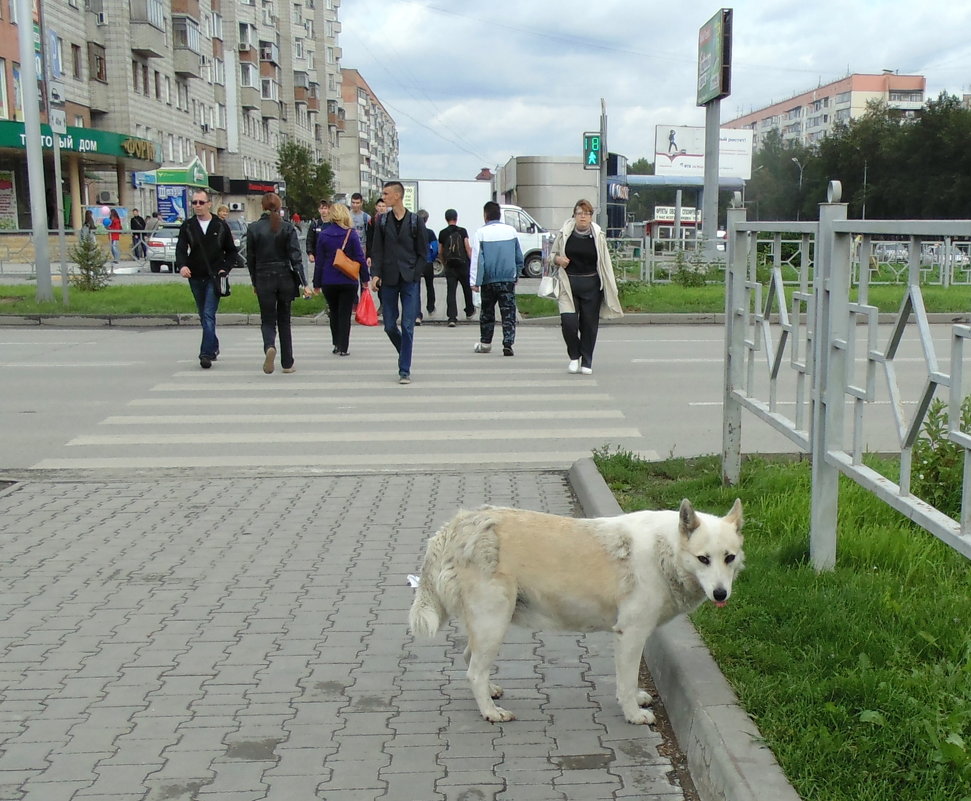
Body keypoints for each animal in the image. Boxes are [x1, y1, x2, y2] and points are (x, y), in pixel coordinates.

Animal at [408, 496, 744, 720]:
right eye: (703, 559)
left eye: (729, 558)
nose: (721, 593)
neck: (667, 550)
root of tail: (456, 525)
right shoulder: (630, 633)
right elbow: (626, 680)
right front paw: (633, 713)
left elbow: (631, 678)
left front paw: (637, 698)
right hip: (494, 622)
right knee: (474, 672)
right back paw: (491, 712)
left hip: (488, 625)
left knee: (470, 659)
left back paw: (490, 694)